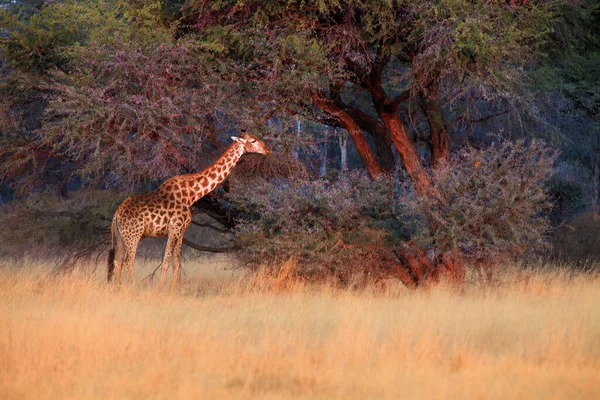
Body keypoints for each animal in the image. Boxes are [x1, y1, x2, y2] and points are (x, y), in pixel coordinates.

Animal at [108, 131, 270, 288]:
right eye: (253, 140)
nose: (267, 150)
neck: (191, 195)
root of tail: (116, 215)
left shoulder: (181, 232)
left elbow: (176, 264)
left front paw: (174, 290)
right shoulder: (175, 228)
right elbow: (166, 262)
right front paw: (160, 289)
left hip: (121, 237)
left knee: (117, 261)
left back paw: (118, 288)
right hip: (134, 235)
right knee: (128, 261)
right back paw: (132, 287)